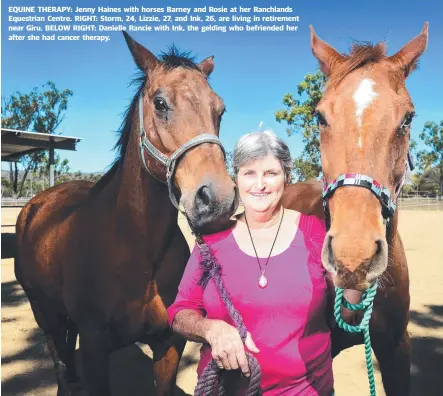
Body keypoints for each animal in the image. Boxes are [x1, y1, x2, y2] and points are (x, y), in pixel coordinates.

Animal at [15, 31, 239, 396]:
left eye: (219, 109)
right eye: (160, 103)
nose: (217, 199)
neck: (135, 248)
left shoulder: (169, 343)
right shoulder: (94, 347)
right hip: (41, 309)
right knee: (57, 355)